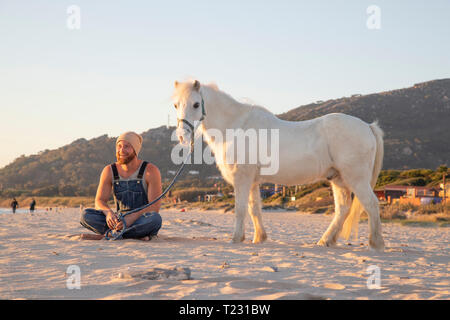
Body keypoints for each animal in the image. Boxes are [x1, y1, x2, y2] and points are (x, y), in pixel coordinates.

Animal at [172, 80, 384, 250]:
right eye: (175, 105)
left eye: (196, 104)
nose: (182, 136)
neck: (236, 126)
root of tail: (368, 126)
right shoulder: (253, 181)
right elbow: (254, 209)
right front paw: (259, 238)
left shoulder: (242, 179)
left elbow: (240, 209)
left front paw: (236, 239)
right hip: (338, 178)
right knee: (343, 209)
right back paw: (326, 241)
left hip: (356, 179)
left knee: (371, 204)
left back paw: (375, 244)